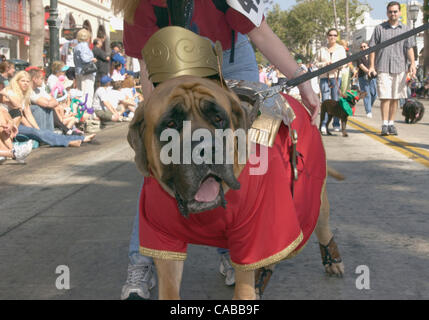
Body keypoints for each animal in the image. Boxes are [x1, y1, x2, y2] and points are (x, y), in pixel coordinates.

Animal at [126, 75, 342, 300]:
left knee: (320, 224)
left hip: (307, 193)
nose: (206, 149)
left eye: (218, 119)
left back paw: (331, 259)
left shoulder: (253, 239)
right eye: (171, 124)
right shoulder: (163, 240)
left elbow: (245, 285)